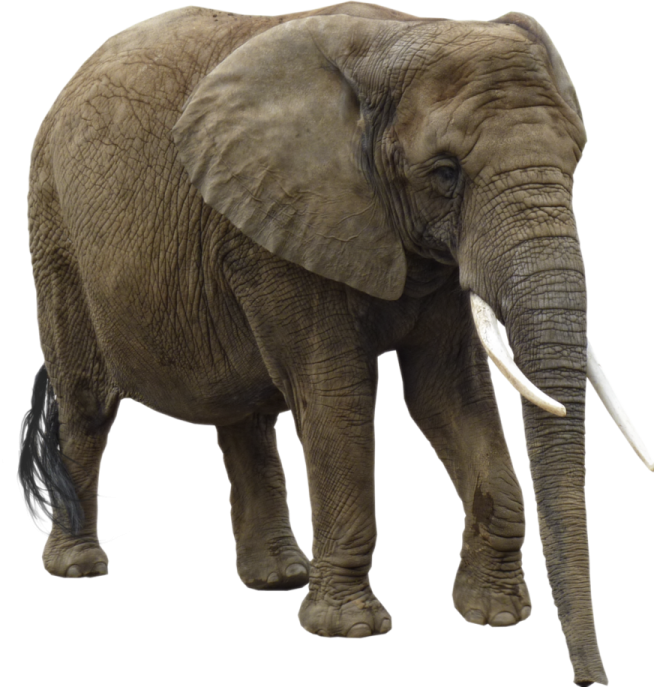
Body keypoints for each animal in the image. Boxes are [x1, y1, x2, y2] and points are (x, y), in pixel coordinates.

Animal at [25, 3, 652, 684]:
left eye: (575, 161)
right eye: (445, 174)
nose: (590, 680)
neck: (399, 36)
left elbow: (447, 395)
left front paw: (496, 616)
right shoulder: (284, 225)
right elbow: (337, 393)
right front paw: (350, 631)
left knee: (246, 416)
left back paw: (279, 578)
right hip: (55, 227)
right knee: (88, 402)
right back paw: (78, 567)